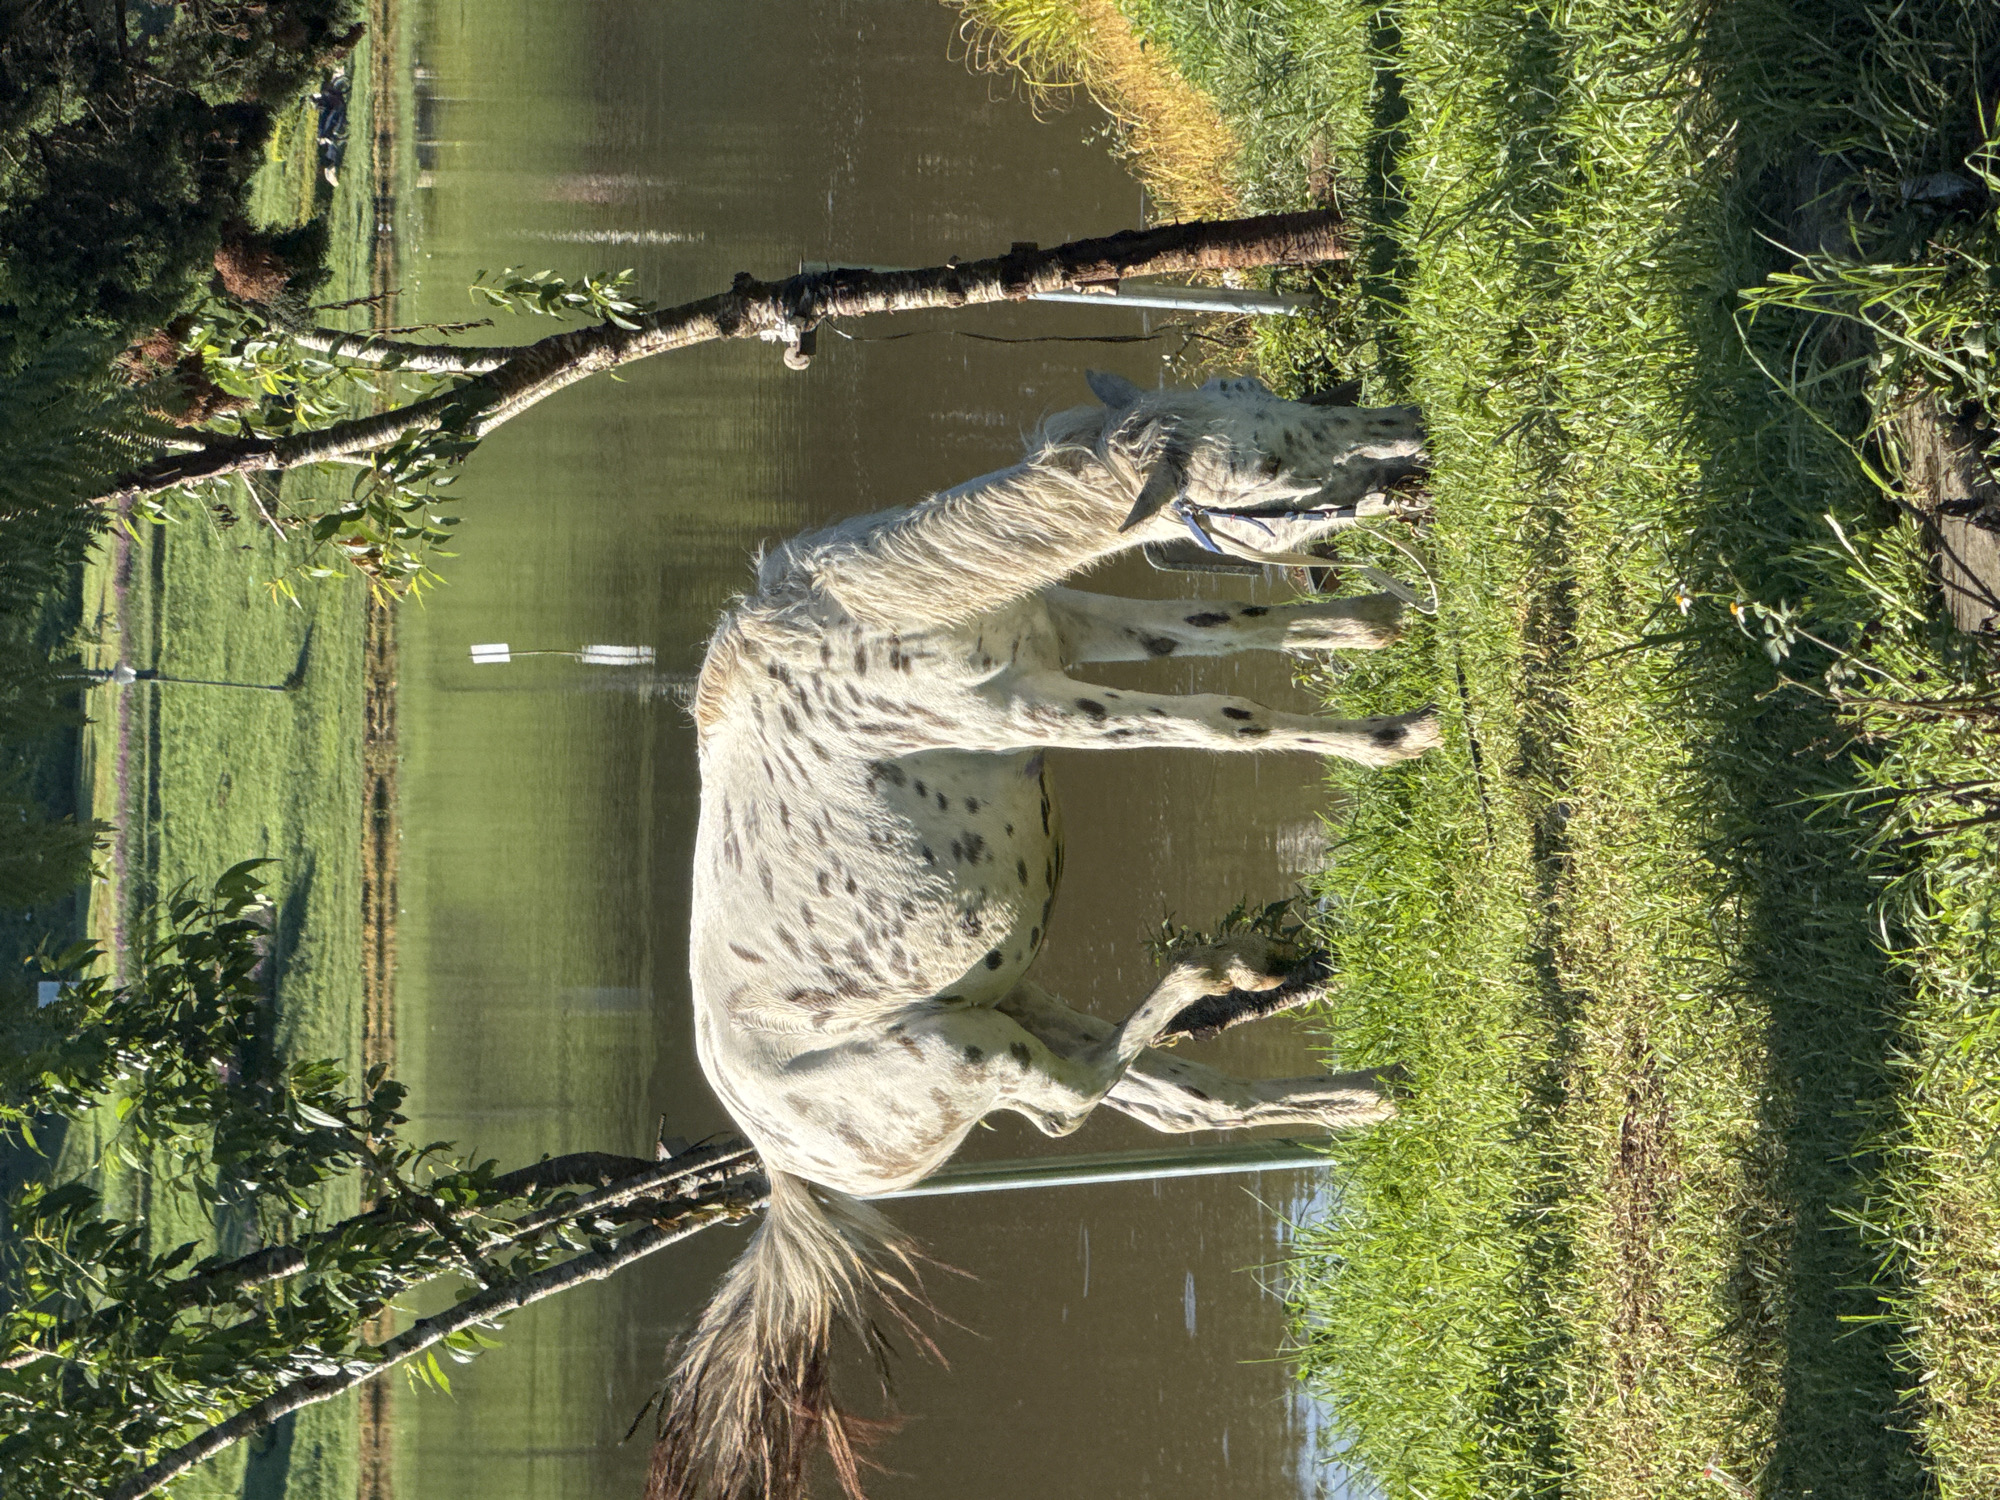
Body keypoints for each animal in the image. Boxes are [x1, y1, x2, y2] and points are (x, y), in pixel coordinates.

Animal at [648, 371, 1437, 1500]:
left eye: (1271, 403)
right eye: (1265, 470)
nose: (1408, 441)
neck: (892, 613)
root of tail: (779, 1158)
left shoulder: (1069, 624)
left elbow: (1227, 618)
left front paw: (1382, 615)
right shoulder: (1032, 703)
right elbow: (1220, 717)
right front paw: (1396, 734)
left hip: (1010, 1005)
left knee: (1188, 1102)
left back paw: (1377, 1091)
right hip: (971, 1050)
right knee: (1075, 1107)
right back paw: (1228, 966)